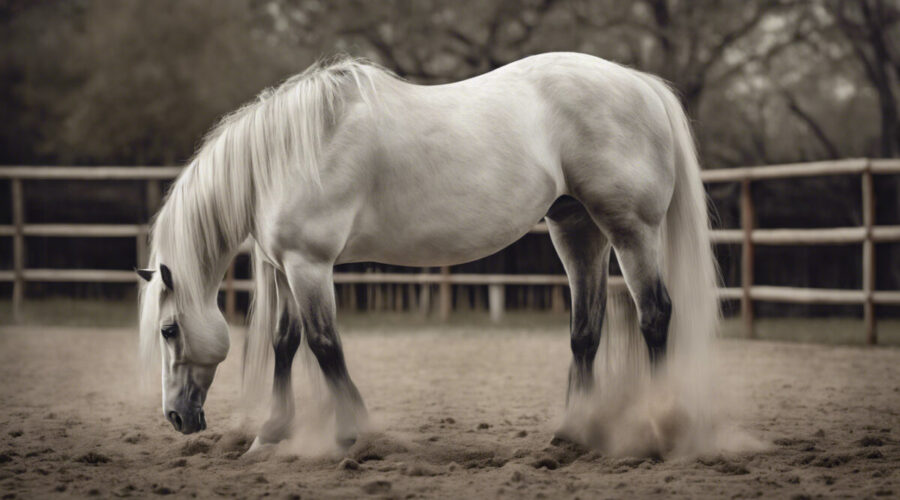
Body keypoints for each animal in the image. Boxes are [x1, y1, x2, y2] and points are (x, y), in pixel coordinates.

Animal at [137, 52, 718, 450]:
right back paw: (574, 434)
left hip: (630, 229)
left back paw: (658, 426)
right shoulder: (286, 269)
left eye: (168, 330)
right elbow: (285, 344)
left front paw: (354, 432)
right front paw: (273, 434)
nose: (176, 418)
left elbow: (326, 347)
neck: (285, 154)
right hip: (576, 228)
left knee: (655, 316)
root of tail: (640, 84)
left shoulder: (310, 265)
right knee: (586, 331)